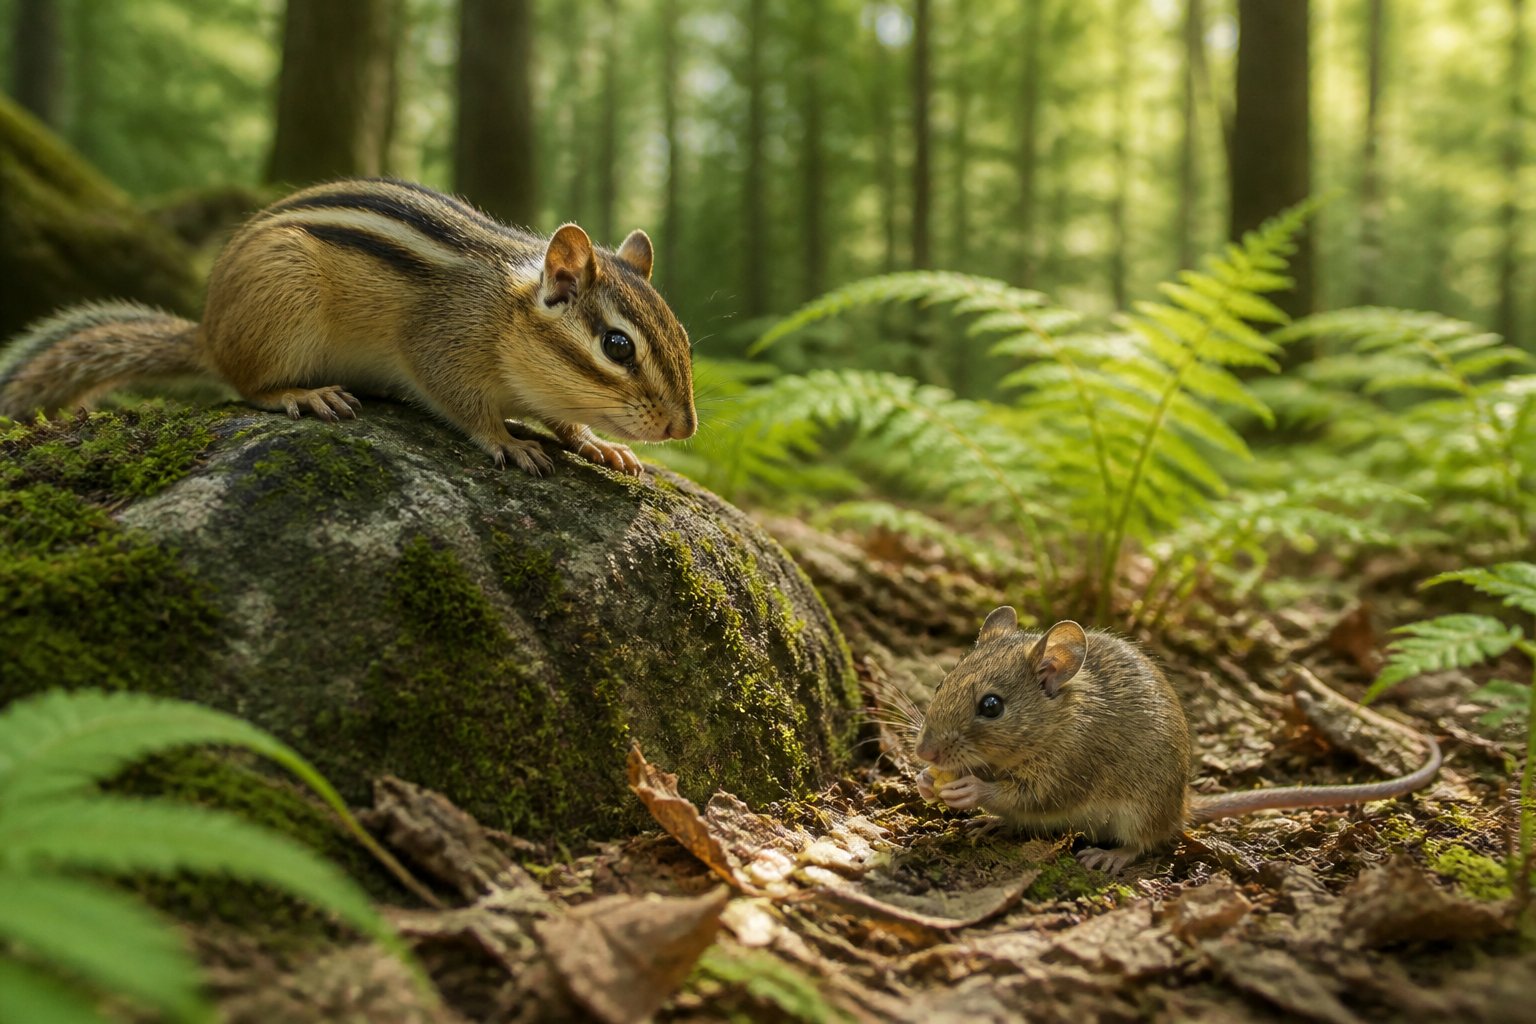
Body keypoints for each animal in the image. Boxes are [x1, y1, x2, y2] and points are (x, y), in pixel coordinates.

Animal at [0, 178, 697, 476]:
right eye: (616, 345)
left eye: (686, 341)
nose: (683, 428)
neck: (510, 311)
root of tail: (208, 331)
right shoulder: (439, 342)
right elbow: (460, 401)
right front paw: (507, 438)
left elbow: (568, 422)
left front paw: (598, 443)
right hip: (282, 304)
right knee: (248, 386)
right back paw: (303, 394)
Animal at [913, 606, 1442, 873]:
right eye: (940, 685)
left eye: (991, 706)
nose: (923, 752)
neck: (1056, 718)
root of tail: (1182, 807)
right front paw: (924, 780)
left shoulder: (1067, 770)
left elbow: (1026, 794)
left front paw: (969, 789)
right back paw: (989, 826)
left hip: (1139, 809)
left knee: (1145, 842)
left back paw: (1108, 856)